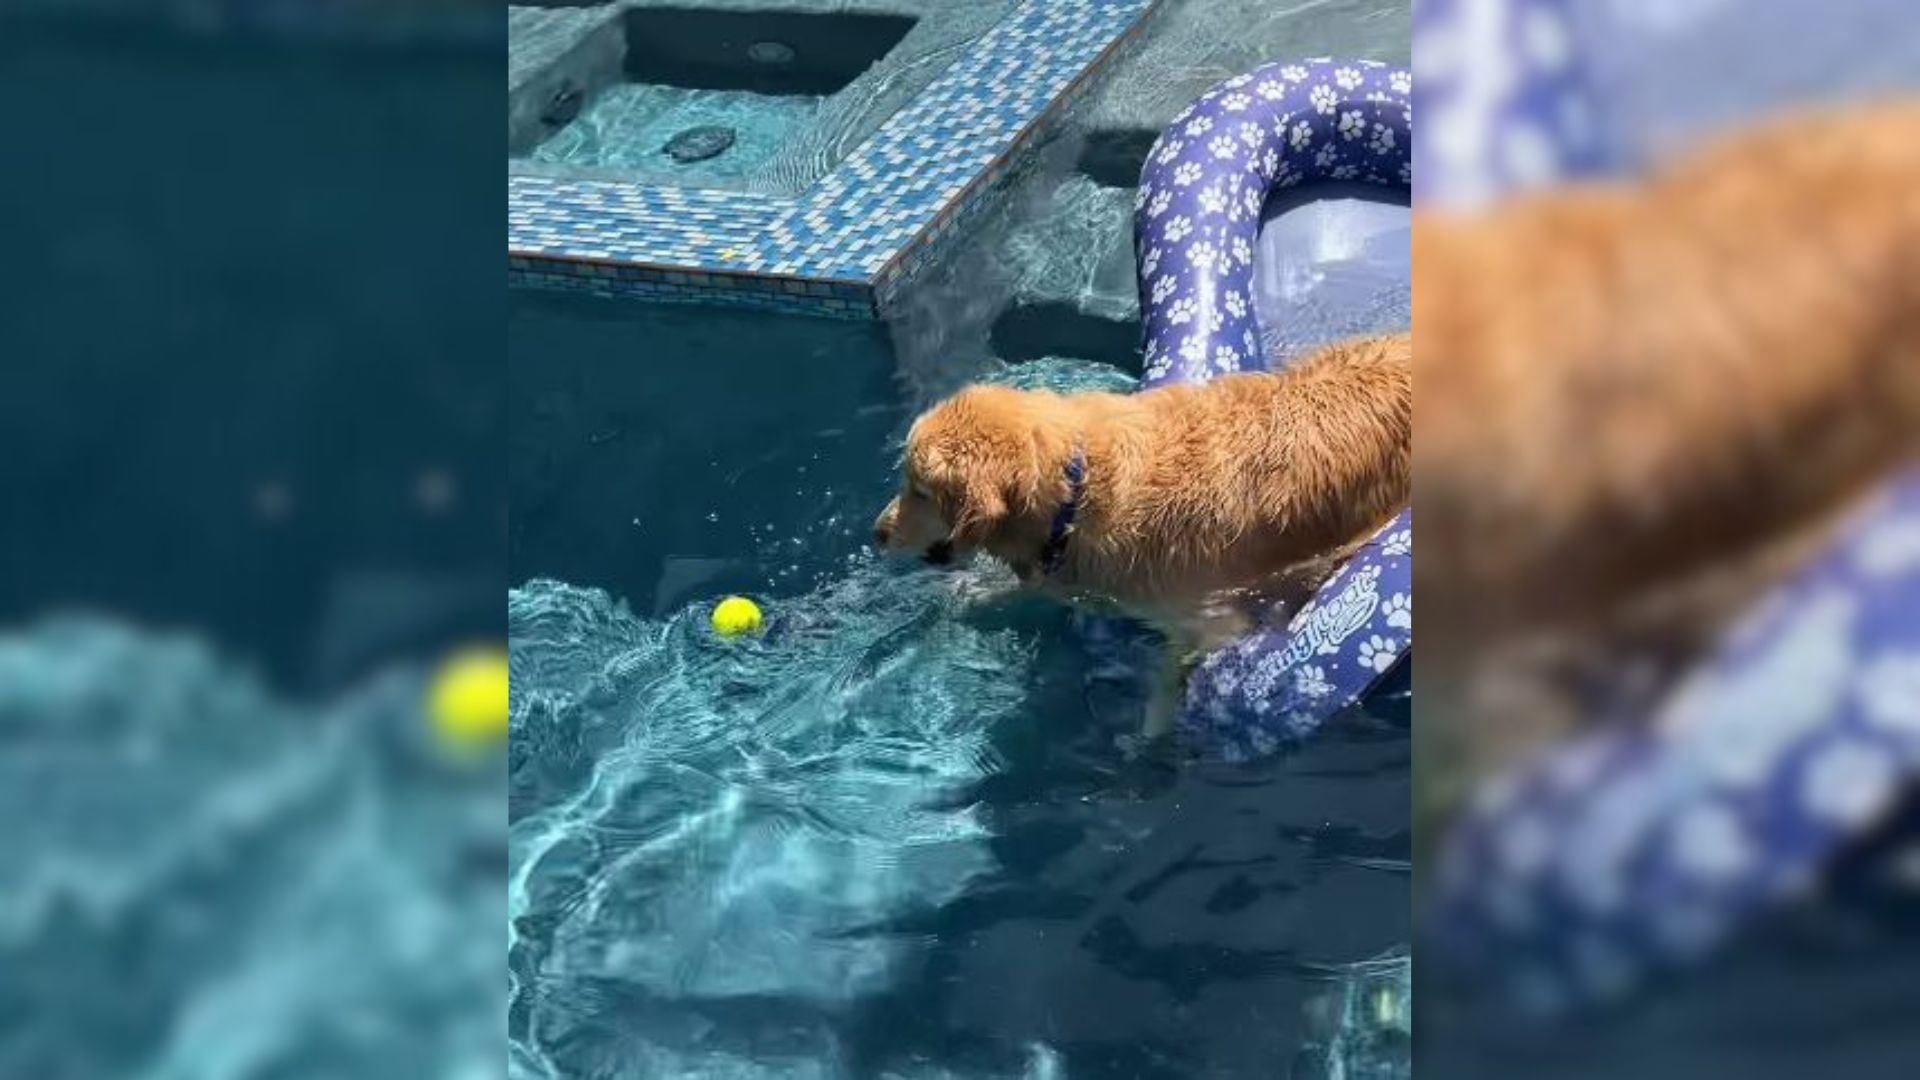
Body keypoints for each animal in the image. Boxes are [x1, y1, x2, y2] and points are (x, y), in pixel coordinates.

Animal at [879, 328, 1405, 730]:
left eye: (920, 489)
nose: (877, 533)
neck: (1077, 486)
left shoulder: (1210, 621)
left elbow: (1169, 684)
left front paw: (1147, 742)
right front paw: (974, 594)